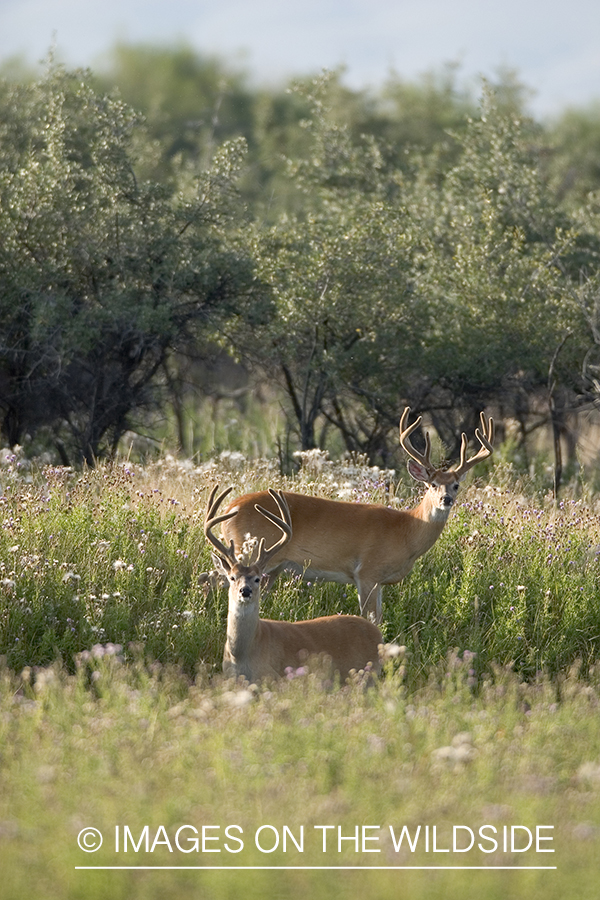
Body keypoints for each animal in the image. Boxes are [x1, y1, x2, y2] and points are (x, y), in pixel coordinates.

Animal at [204, 484, 383, 683]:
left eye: (257, 578)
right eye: (232, 577)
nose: (245, 591)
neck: (243, 654)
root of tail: (378, 636)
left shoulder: (274, 678)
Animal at [220, 407, 494, 624]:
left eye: (456, 485)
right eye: (432, 484)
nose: (446, 499)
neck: (406, 530)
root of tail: (229, 508)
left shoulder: (379, 581)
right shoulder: (367, 572)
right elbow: (371, 618)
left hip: (269, 569)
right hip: (249, 553)